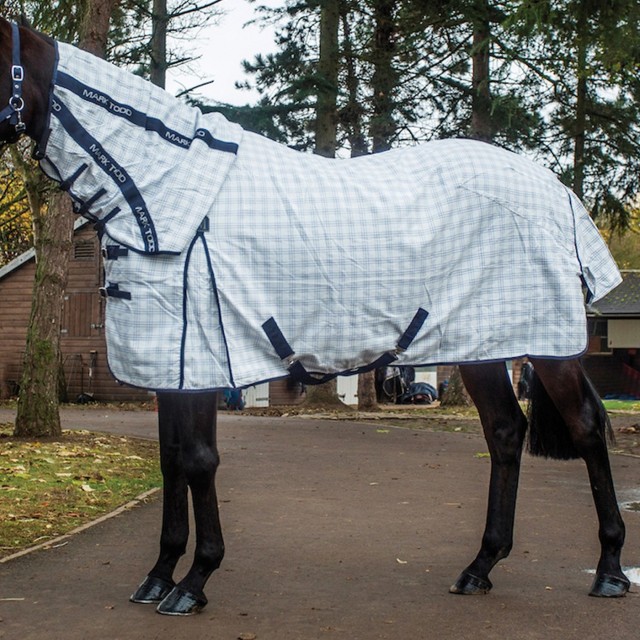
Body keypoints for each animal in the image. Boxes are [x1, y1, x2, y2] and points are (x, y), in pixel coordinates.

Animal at [0, 20, 632, 616]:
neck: (170, 190)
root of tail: (557, 190)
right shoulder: (173, 369)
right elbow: (172, 461)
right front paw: (159, 575)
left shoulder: (200, 363)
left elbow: (199, 461)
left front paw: (195, 581)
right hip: (484, 347)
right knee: (504, 433)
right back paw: (480, 567)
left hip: (547, 347)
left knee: (586, 427)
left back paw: (609, 570)